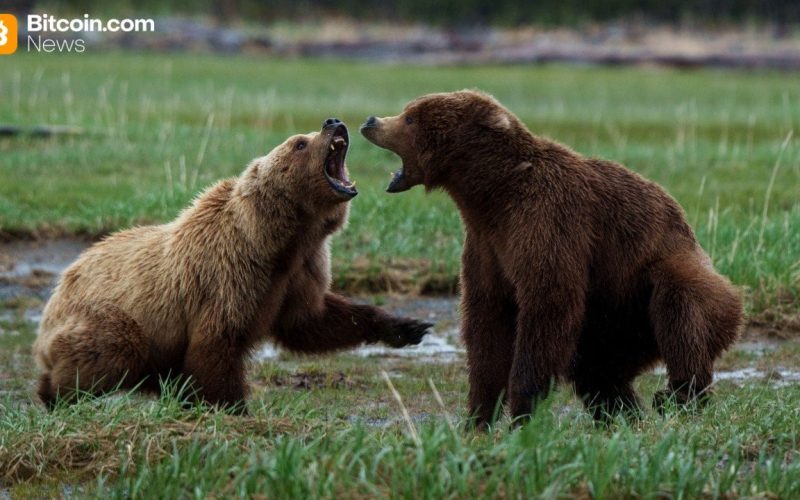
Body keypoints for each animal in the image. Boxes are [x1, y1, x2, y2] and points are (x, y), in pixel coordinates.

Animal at [33, 118, 432, 411]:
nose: (333, 121)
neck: (281, 239)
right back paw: (55, 394)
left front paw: (408, 326)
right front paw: (233, 408)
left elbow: (312, 320)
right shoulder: (229, 273)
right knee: (114, 347)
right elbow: (216, 345)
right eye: (299, 143)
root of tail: (60, 286)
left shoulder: (301, 269)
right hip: (108, 316)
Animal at [360, 91, 743, 427]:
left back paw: (678, 396)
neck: (491, 194)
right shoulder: (487, 245)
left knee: (680, 308)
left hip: (659, 278)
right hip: (613, 319)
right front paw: (478, 416)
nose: (370, 121)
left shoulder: (548, 222)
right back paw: (625, 414)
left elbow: (546, 306)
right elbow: (486, 320)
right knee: (597, 368)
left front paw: (522, 410)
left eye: (410, 117)